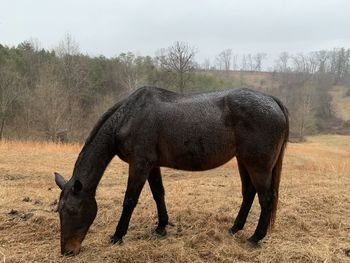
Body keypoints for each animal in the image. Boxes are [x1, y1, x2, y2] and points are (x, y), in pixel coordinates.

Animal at [54, 86, 290, 256]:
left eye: (72, 211)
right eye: (59, 211)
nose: (67, 252)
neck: (129, 116)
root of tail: (272, 101)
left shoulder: (139, 164)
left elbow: (130, 200)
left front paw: (117, 236)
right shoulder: (151, 165)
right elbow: (159, 194)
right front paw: (161, 227)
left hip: (258, 165)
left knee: (266, 198)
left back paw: (255, 237)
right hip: (244, 161)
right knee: (248, 193)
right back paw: (235, 228)